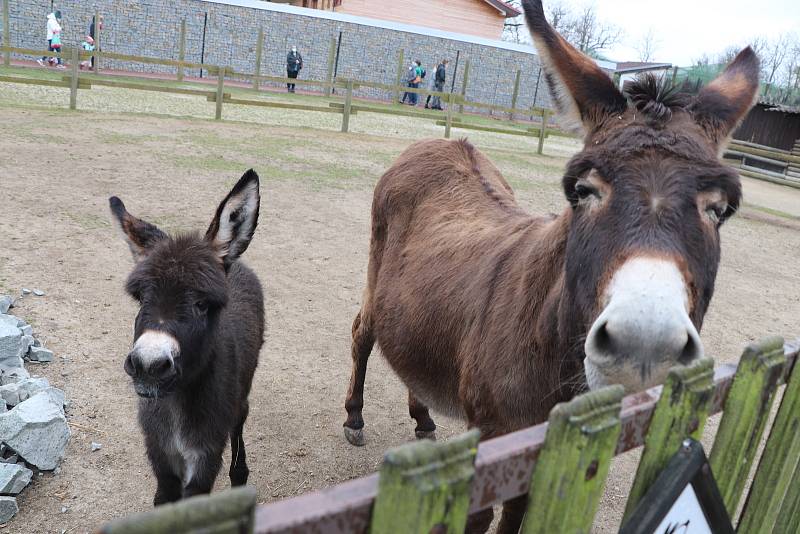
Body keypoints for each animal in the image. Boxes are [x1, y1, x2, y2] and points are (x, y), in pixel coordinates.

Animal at [109, 172, 264, 506]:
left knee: (240, 417)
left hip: (244, 385)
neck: (175, 404)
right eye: (141, 298)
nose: (149, 365)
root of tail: (234, 261)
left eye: (202, 304)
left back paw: (240, 475)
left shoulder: (205, 455)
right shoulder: (159, 452)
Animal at [340, 2, 760, 532]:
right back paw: (354, 417)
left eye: (719, 208)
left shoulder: (539, 451)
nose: (645, 344)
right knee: (363, 334)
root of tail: (445, 142)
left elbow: (517, 514)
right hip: (375, 277)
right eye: (583, 190)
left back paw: (423, 416)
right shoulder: (492, 442)